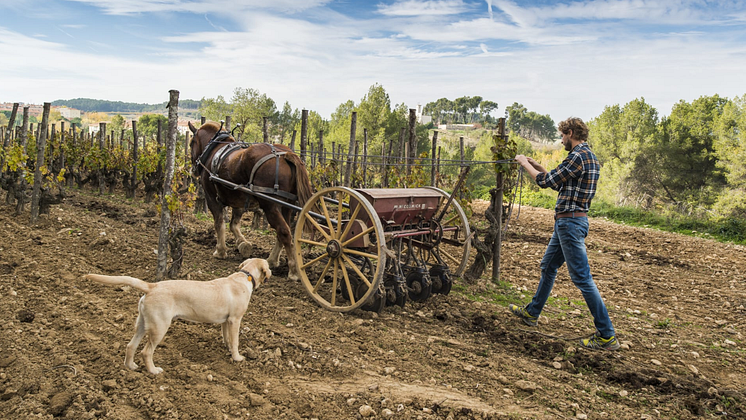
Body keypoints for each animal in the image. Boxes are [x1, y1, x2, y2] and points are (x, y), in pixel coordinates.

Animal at [85, 258, 270, 376]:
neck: (246, 276)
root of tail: (152, 286)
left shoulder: (226, 321)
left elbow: (227, 338)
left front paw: (228, 349)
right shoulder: (235, 319)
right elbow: (236, 341)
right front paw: (237, 358)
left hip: (143, 324)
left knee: (131, 346)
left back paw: (130, 366)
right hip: (160, 327)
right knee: (146, 352)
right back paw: (153, 371)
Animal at [189, 121, 314, 278]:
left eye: (191, 143)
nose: (193, 169)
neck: (215, 150)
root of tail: (286, 154)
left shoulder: (211, 197)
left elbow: (219, 223)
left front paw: (220, 250)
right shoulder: (239, 200)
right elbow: (234, 224)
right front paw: (243, 244)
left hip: (270, 205)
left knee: (283, 231)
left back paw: (293, 271)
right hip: (287, 204)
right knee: (284, 232)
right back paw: (272, 260)